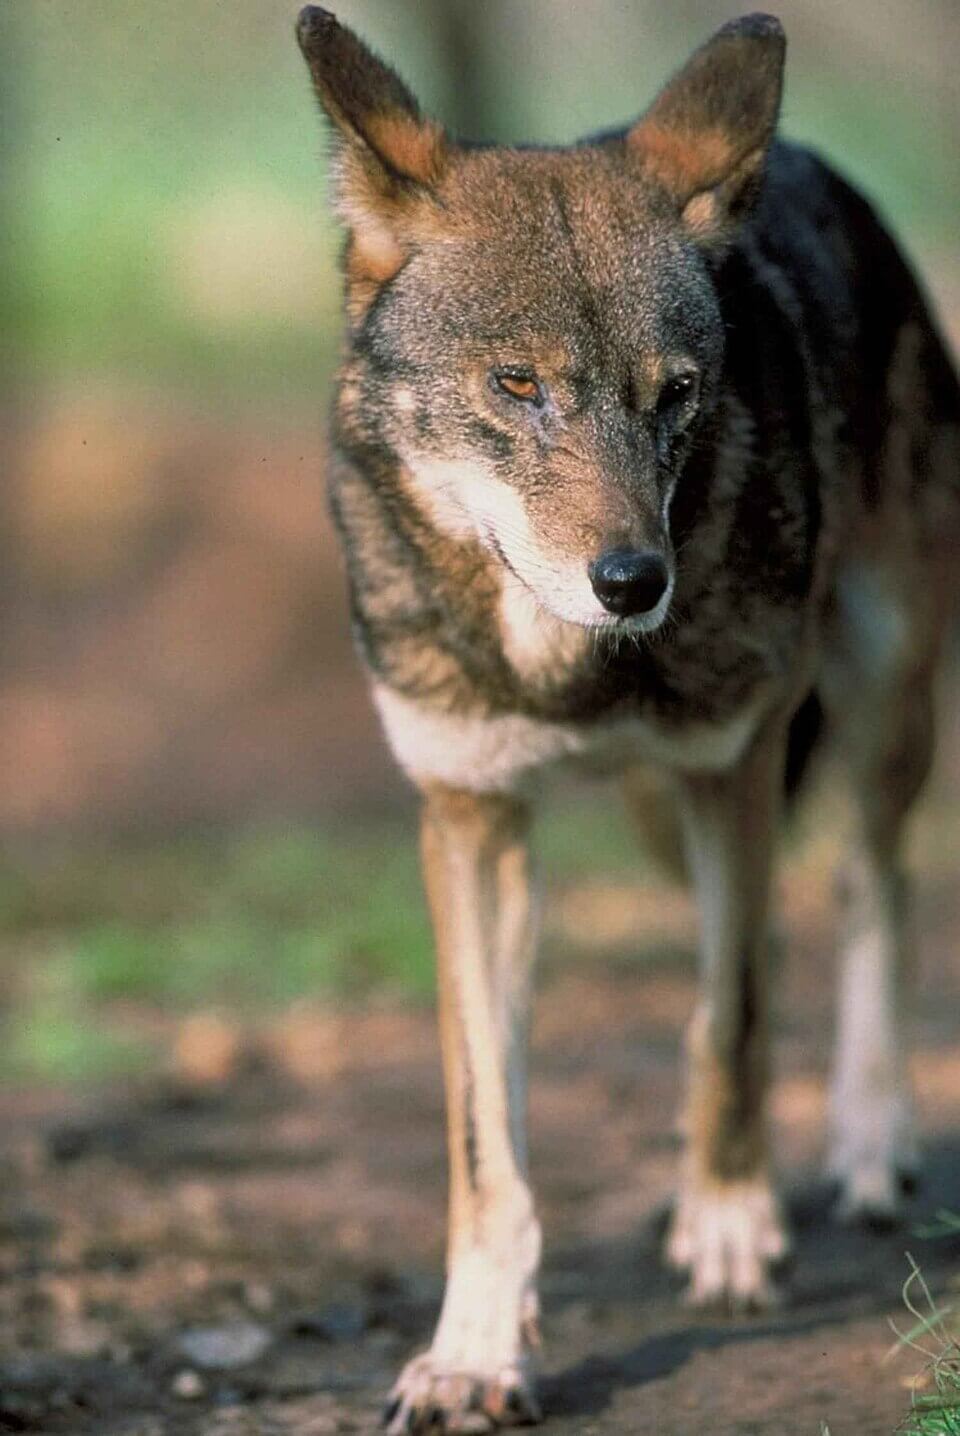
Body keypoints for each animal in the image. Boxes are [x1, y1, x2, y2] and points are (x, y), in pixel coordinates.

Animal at [296, 7, 960, 1430]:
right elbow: (485, 1135)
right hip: (653, 815)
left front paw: (730, 1224)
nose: (633, 579)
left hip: (876, 697)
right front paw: (477, 1349)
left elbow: (732, 1017)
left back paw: (870, 1139)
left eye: (676, 393)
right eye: (517, 384)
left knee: (868, 882)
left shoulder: (737, 763)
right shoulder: (471, 819)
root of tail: (820, 171)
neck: (566, 672)